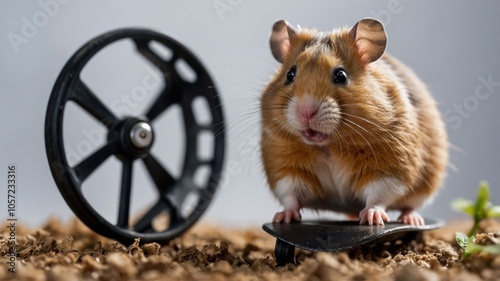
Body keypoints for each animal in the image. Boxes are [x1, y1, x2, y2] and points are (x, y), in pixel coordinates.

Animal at [262, 18, 450, 225]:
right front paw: (282, 218)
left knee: (410, 206)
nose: (305, 112)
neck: (328, 146)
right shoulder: (285, 167)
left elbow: (378, 195)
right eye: (290, 75)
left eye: (341, 75)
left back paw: (412, 220)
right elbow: (290, 195)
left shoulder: (389, 167)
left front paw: (372, 218)